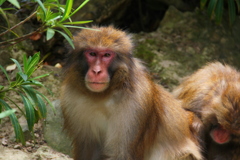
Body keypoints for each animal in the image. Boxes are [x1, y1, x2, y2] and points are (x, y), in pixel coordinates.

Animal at [60, 25, 202, 159]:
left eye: (107, 55)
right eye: (92, 54)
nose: (96, 71)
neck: (103, 95)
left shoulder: (136, 103)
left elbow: (122, 153)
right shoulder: (71, 98)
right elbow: (88, 148)